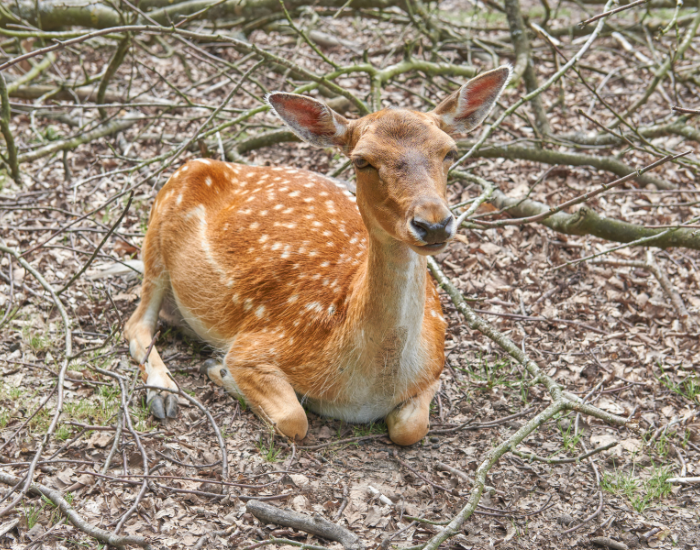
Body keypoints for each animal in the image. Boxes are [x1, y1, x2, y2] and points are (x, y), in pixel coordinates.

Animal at [123, 66, 510, 446]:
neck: (370, 386)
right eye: (362, 160)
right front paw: (219, 369)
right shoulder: (255, 347)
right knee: (137, 323)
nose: (433, 224)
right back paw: (163, 393)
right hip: (157, 229)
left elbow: (411, 428)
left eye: (449, 151)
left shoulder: (436, 362)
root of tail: (199, 162)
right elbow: (293, 419)